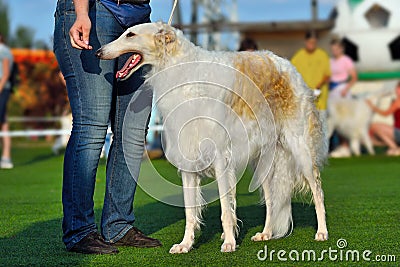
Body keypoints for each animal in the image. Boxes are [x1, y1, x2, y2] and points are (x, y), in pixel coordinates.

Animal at [96, 22, 328, 253]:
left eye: (130, 34)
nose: (98, 52)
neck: (182, 72)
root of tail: (285, 65)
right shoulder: (188, 159)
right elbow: (190, 212)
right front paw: (185, 244)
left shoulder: (221, 158)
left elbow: (225, 210)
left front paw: (229, 242)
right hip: (264, 161)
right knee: (271, 200)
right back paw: (266, 233)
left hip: (301, 149)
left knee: (317, 190)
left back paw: (322, 232)